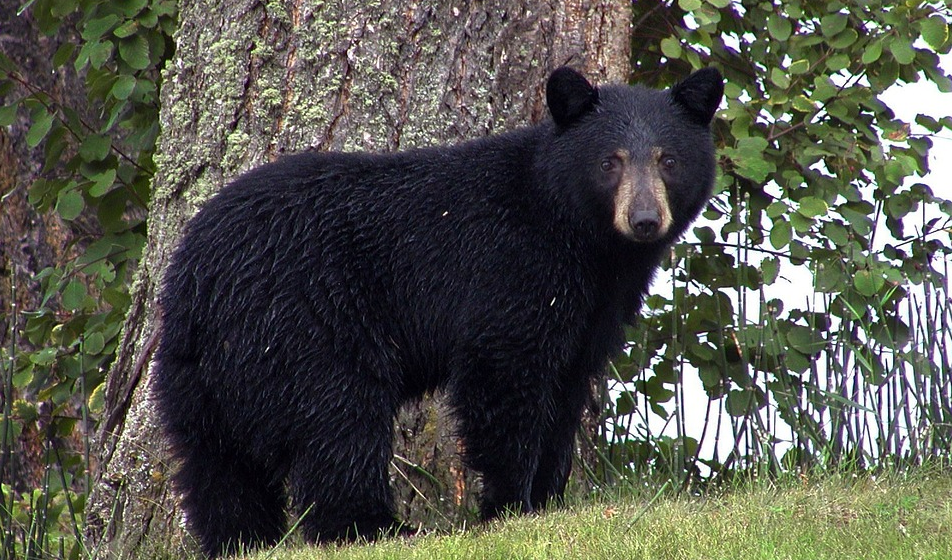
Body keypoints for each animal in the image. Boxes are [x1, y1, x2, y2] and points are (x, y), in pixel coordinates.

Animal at [152, 65, 723, 558]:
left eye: (669, 160)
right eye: (611, 161)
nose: (645, 219)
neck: (582, 239)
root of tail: (199, 279)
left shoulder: (593, 308)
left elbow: (566, 389)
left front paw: (549, 500)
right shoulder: (512, 269)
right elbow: (504, 375)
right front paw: (510, 507)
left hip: (196, 373)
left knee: (217, 466)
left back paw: (241, 541)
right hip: (304, 322)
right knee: (338, 421)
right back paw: (377, 528)